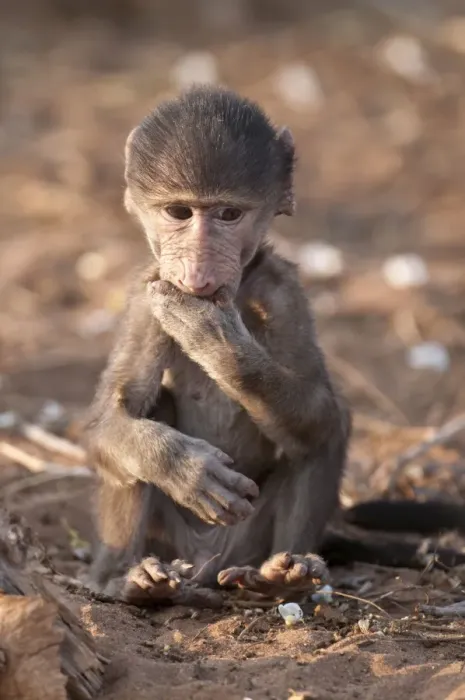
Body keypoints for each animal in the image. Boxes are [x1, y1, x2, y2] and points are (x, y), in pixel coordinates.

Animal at [83, 84, 352, 607]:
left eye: (229, 214)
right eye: (178, 212)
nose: (199, 273)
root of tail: (208, 562)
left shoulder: (282, 291)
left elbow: (319, 408)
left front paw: (213, 338)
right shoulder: (146, 296)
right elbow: (106, 420)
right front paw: (185, 469)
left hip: (246, 539)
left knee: (329, 427)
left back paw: (285, 575)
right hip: (172, 541)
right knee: (147, 409)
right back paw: (127, 581)